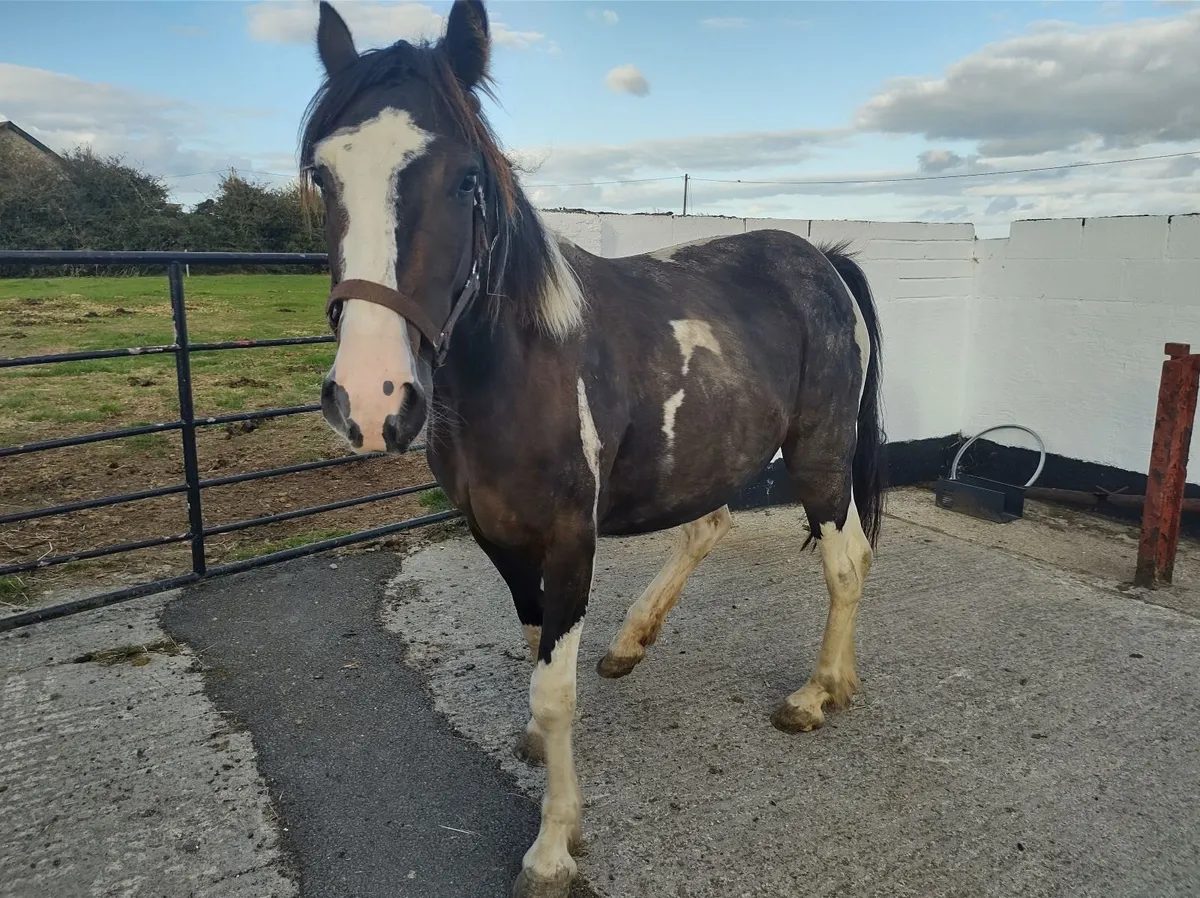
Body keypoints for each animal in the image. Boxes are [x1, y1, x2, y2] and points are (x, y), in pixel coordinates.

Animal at [300, 2, 886, 895]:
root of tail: (824, 259)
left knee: (846, 560)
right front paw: (544, 757)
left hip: (819, 454)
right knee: (711, 525)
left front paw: (552, 845)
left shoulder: (570, 540)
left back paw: (816, 694)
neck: (520, 369)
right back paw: (635, 643)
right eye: (324, 175)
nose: (371, 399)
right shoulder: (498, 536)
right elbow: (536, 656)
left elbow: (554, 690)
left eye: (466, 179)